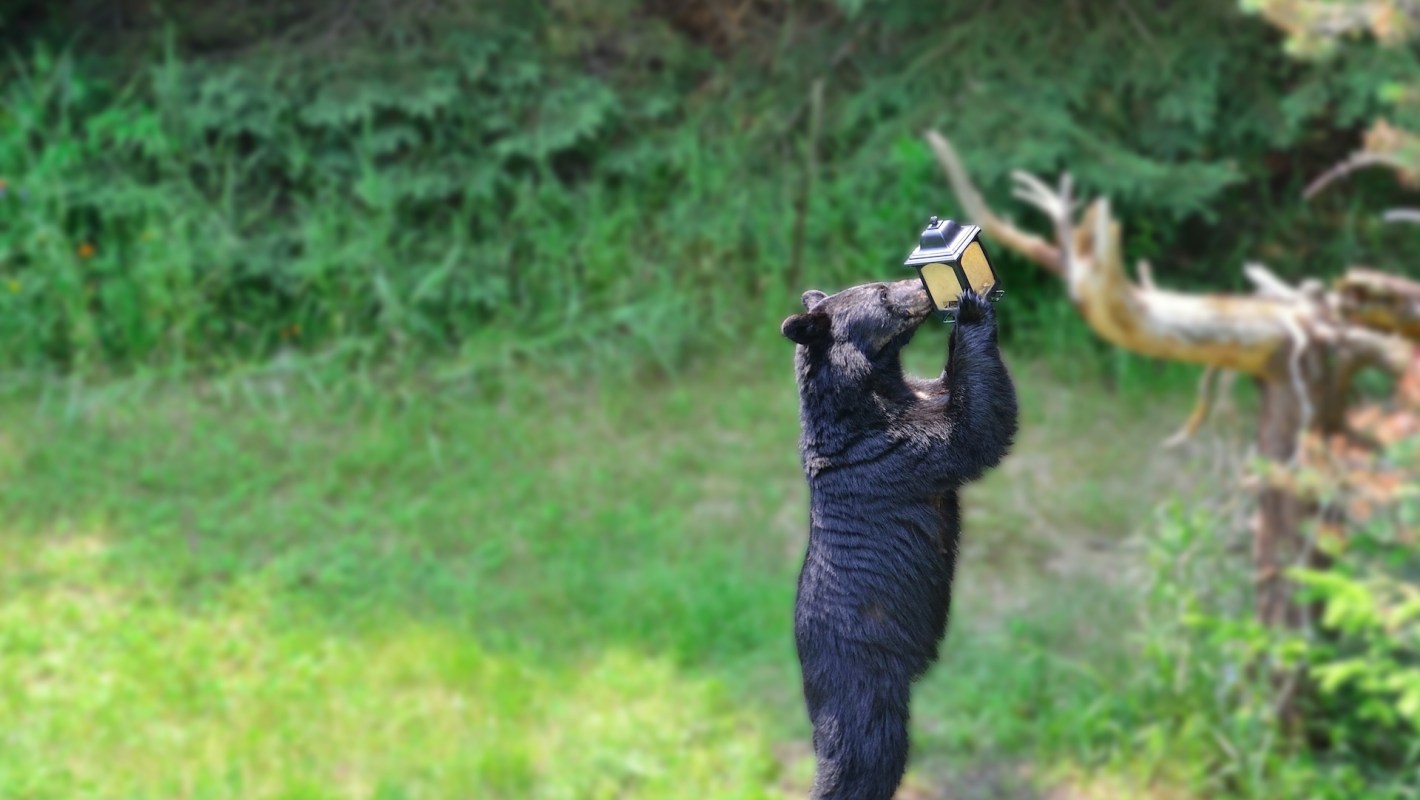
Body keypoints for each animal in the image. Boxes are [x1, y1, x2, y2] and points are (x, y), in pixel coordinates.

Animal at [780, 278, 1018, 800]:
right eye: (884, 294)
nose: (920, 287)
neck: (873, 391)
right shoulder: (896, 449)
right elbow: (972, 432)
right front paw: (972, 309)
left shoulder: (916, 398)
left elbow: (954, 395)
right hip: (862, 676)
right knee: (863, 752)